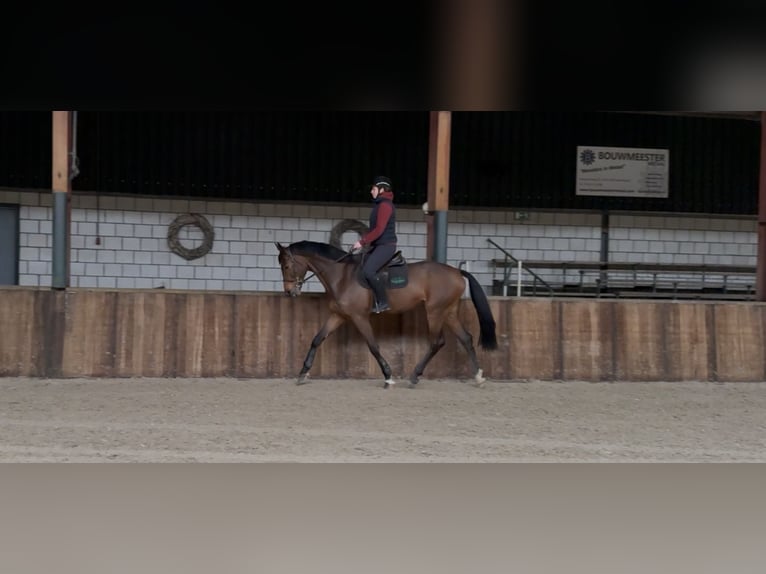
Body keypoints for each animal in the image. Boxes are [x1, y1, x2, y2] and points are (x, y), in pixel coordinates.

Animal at [275, 240, 498, 389]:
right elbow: (317, 339)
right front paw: (303, 373)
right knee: (466, 338)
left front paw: (388, 376)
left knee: (437, 342)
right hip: (448, 311)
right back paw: (478, 377)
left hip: (435, 311)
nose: (289, 292)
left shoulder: (359, 317)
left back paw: (414, 376)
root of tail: (457, 272)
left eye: (286, 265)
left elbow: (373, 346)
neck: (342, 276)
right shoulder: (339, 315)